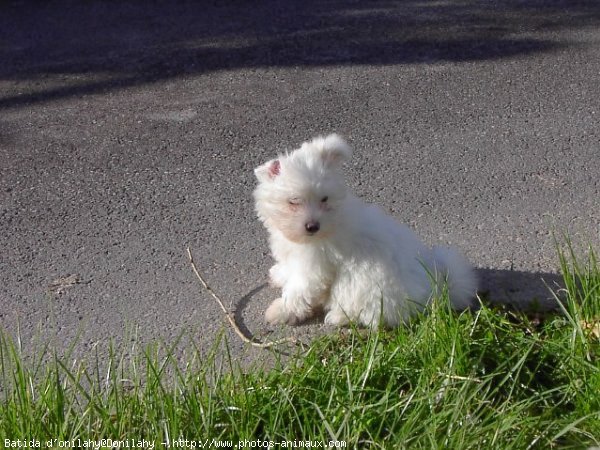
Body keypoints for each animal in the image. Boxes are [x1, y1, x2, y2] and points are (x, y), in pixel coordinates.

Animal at [251, 134, 476, 326]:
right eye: (294, 201)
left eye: (324, 199)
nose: (313, 226)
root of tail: (437, 291)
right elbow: (290, 270)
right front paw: (279, 274)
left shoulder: (314, 267)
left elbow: (299, 291)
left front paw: (280, 311)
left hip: (367, 290)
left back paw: (338, 317)